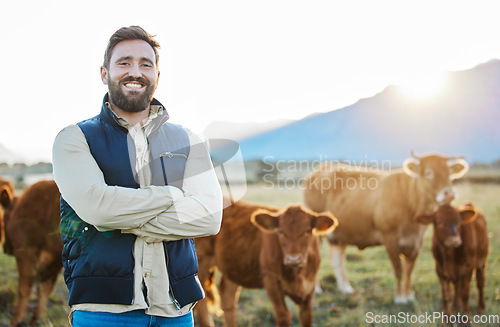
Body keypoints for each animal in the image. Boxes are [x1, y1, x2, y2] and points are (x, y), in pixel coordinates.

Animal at [3, 181, 62, 326]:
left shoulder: (25, 250)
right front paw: (38, 319)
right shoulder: (56, 258)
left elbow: (24, 287)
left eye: (4, 218)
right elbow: (45, 288)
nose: (5, 248)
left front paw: (17, 319)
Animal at [193, 199, 338, 327]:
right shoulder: (271, 280)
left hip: (233, 266)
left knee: (227, 296)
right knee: (201, 298)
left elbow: (306, 316)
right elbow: (284, 315)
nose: (293, 259)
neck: (297, 275)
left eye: (308, 231)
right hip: (202, 261)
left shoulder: (310, 284)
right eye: (281, 232)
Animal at [300, 152, 468, 304]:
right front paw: (400, 298)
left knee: (337, 259)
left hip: (339, 234)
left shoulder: (416, 244)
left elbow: (408, 271)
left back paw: (345, 288)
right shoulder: (390, 240)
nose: (449, 193)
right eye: (428, 173)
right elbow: (399, 270)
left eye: (450, 174)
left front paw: (409, 295)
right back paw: (317, 289)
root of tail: (320, 169)